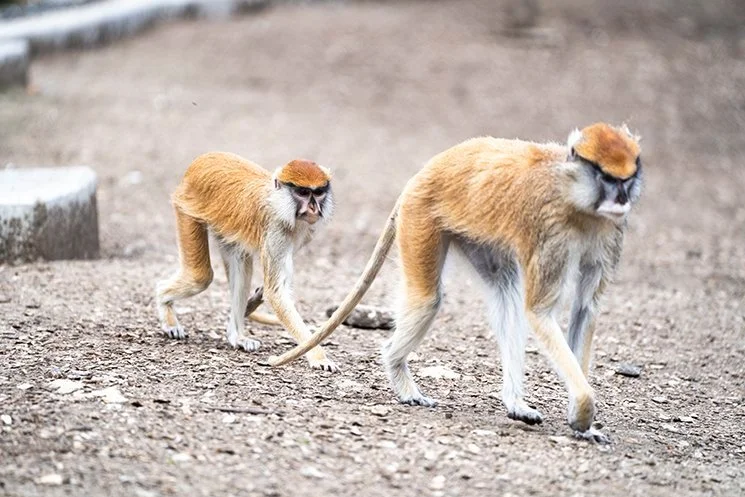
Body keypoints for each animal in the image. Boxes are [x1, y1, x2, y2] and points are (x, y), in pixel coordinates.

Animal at [155, 152, 338, 372]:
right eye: (302, 192)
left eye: (318, 192)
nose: (313, 207)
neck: (278, 202)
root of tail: (203, 159)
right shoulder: (276, 231)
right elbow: (276, 293)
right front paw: (318, 356)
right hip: (186, 208)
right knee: (200, 277)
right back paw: (166, 308)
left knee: (240, 267)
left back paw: (237, 336)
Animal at [268, 123, 642, 443]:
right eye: (607, 178)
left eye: (627, 179)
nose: (621, 199)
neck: (573, 194)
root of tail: (425, 172)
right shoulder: (548, 230)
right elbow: (539, 311)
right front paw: (583, 410)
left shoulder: (610, 231)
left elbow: (584, 308)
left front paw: (583, 421)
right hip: (421, 218)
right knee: (428, 299)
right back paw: (398, 371)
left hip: (475, 232)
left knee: (505, 291)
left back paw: (514, 401)